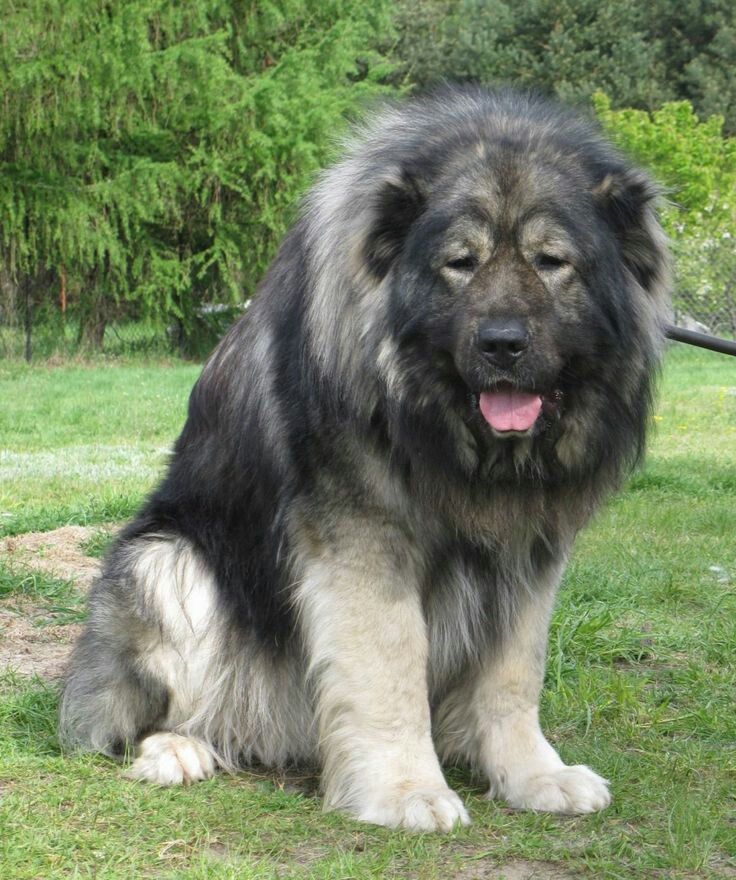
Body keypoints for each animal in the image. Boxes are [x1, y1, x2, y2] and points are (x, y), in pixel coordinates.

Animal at [61, 87, 672, 832]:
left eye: (552, 261)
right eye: (460, 263)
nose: (503, 343)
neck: (448, 435)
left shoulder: (529, 547)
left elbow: (513, 673)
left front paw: (532, 775)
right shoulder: (362, 539)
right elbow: (391, 666)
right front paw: (405, 789)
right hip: (165, 563)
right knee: (141, 715)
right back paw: (178, 749)